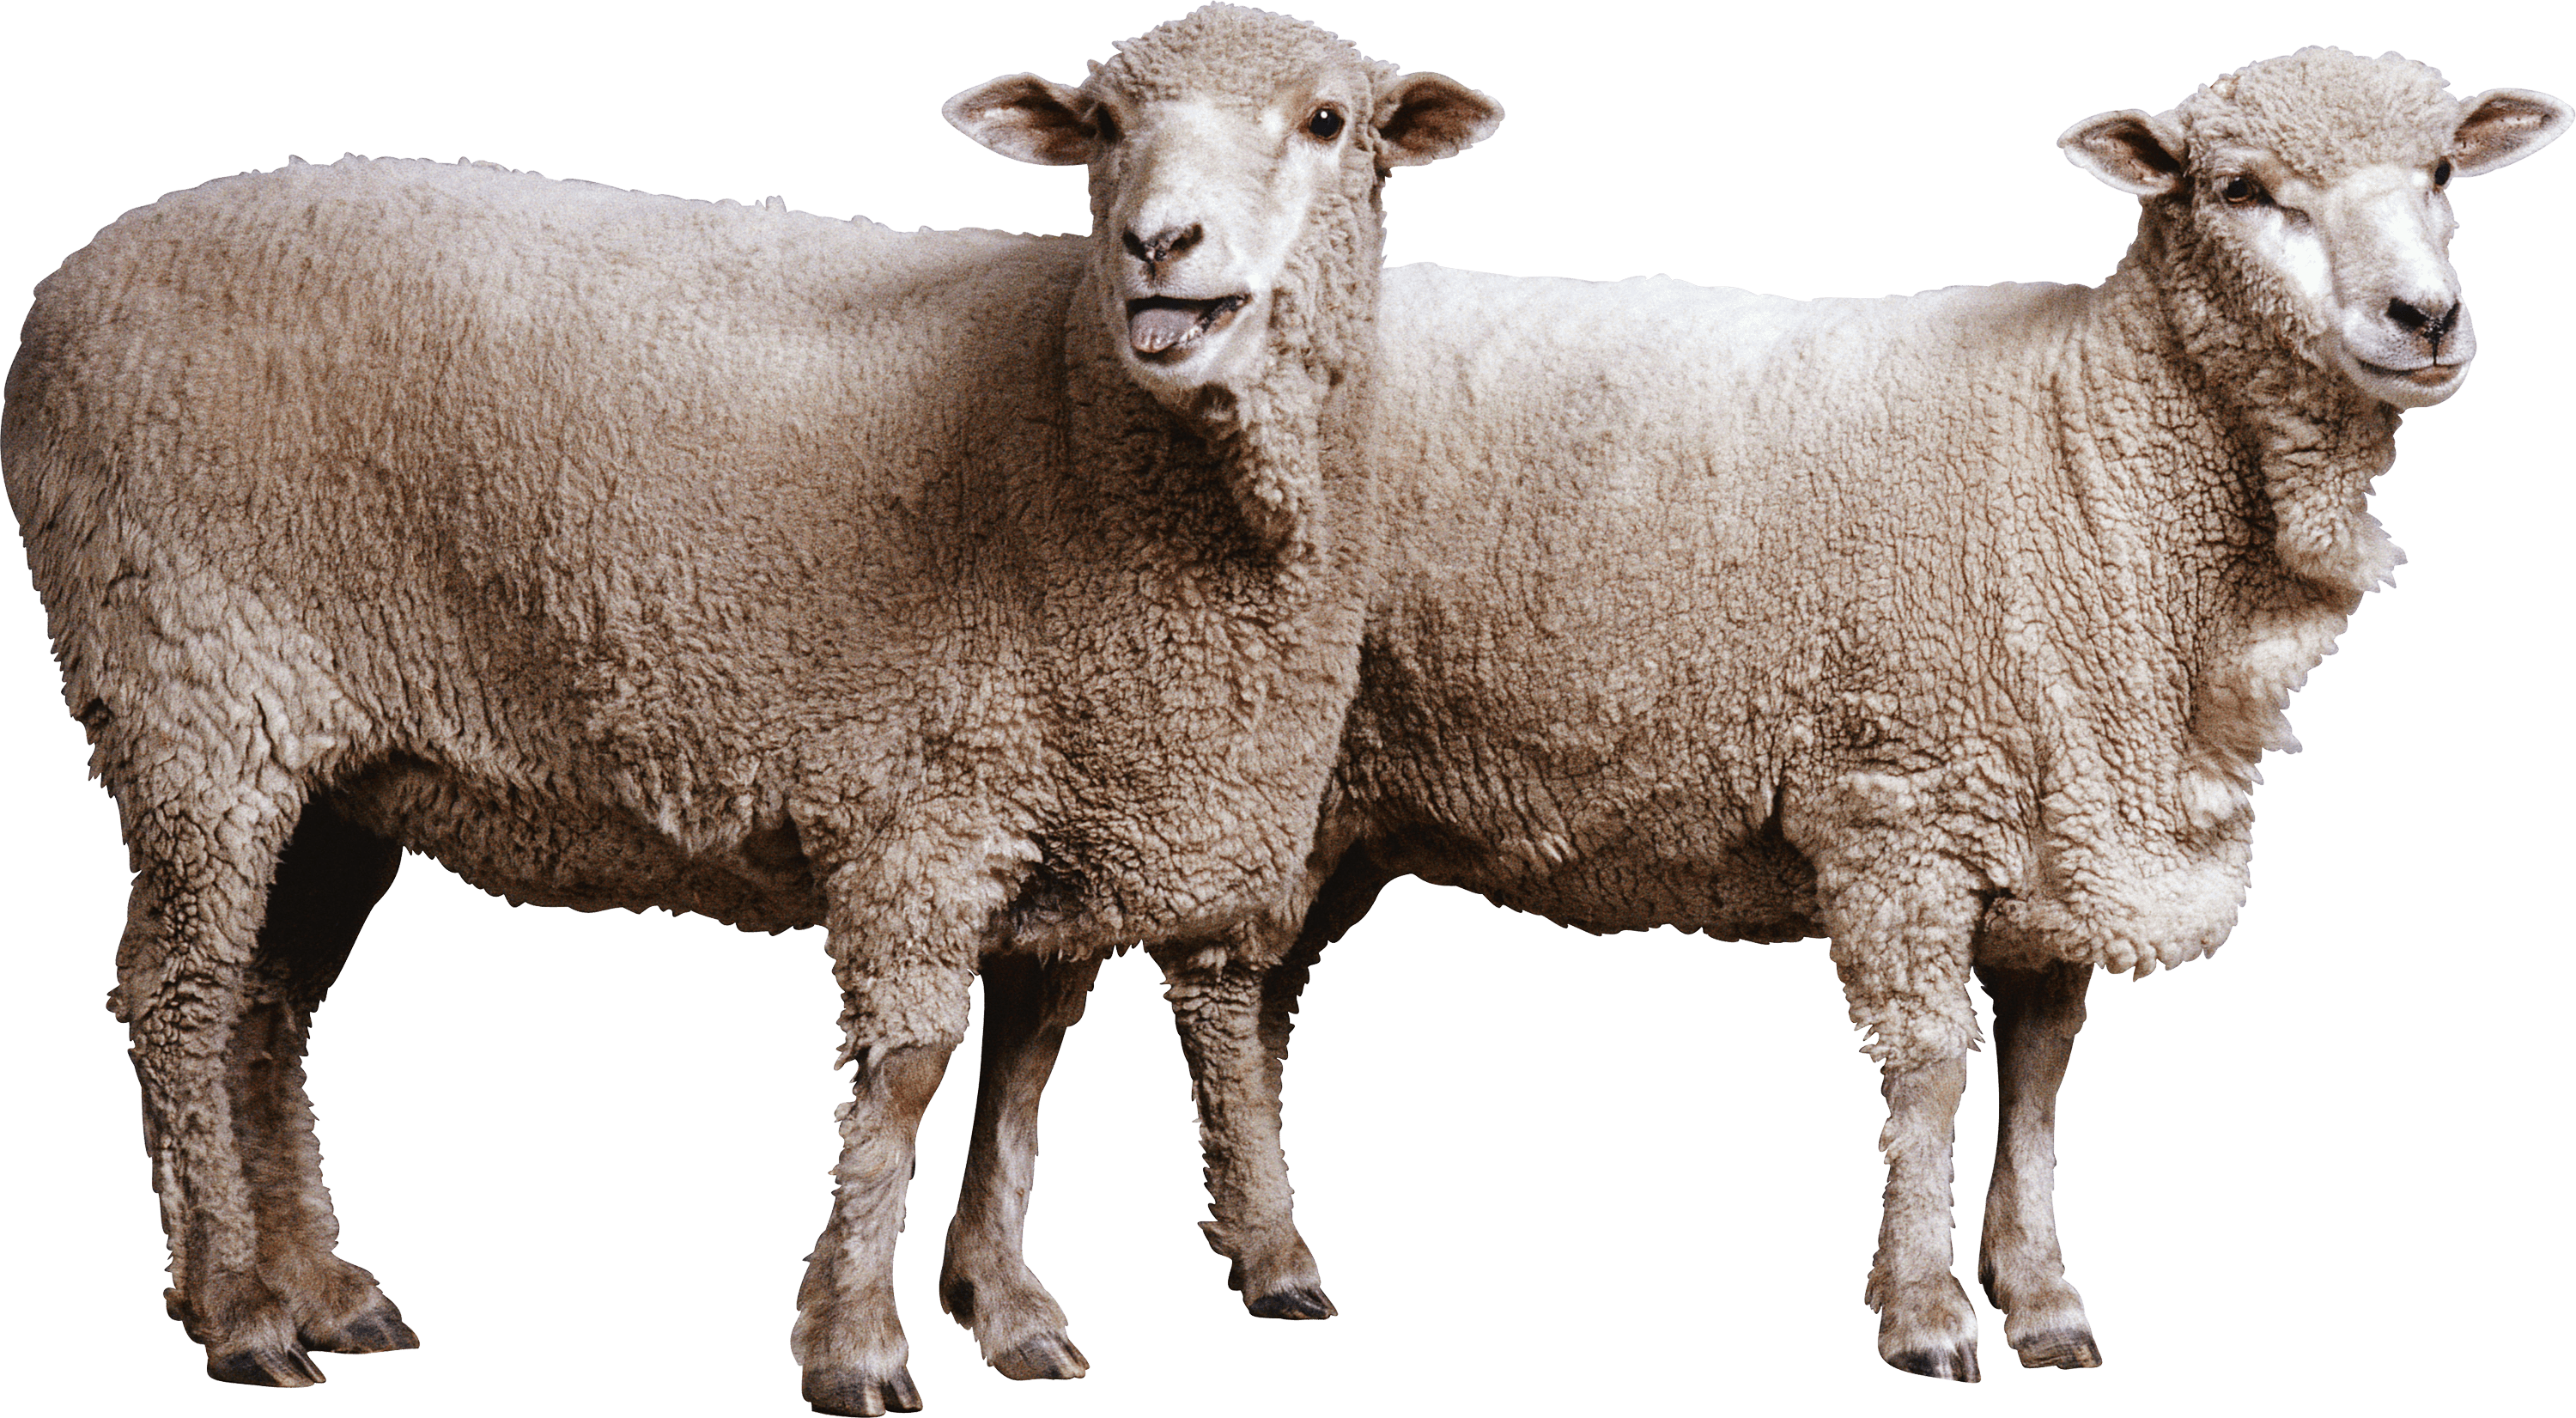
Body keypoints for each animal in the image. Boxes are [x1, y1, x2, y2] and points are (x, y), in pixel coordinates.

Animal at [1, 6, 1500, 1411]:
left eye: (1327, 121)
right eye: (1106, 123)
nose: (1158, 240)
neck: (1074, 414)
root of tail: (71, 283)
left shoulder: (1066, 808)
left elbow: (1025, 1068)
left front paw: (1008, 1305)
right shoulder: (925, 807)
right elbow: (910, 1068)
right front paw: (857, 1341)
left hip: (338, 762)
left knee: (266, 1004)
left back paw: (323, 1289)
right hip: (193, 696)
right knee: (180, 995)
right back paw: (237, 1311)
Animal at [933, 45, 2569, 1387]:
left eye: (2442, 176)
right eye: (2240, 188)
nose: (2426, 316)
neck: (2088, 444)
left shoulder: (2063, 824)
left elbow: (2042, 1076)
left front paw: (2043, 1298)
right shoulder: (1902, 804)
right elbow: (1932, 1064)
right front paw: (1927, 1311)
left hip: (1358, 796)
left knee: (1267, 995)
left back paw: (1244, 1230)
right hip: (1266, 753)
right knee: (1218, 989)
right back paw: (1270, 1258)